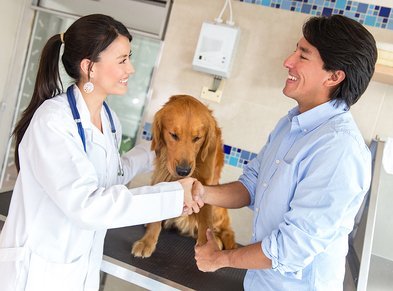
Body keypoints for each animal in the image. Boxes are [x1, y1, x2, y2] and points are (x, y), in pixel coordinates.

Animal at [132, 95, 236, 258]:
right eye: (174, 135)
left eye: (197, 138)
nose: (183, 171)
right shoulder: (162, 173)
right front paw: (147, 242)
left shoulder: (205, 185)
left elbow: (206, 222)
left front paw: (208, 250)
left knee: (227, 231)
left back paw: (219, 241)